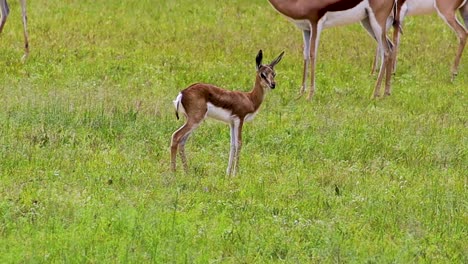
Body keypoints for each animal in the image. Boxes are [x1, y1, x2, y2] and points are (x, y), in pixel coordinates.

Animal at [266, 0, 398, 99]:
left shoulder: (315, 23)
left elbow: (313, 54)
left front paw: (310, 95)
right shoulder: (305, 29)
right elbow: (305, 55)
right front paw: (300, 94)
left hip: (377, 21)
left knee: (386, 51)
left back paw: (374, 94)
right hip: (367, 21)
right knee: (391, 47)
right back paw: (386, 93)